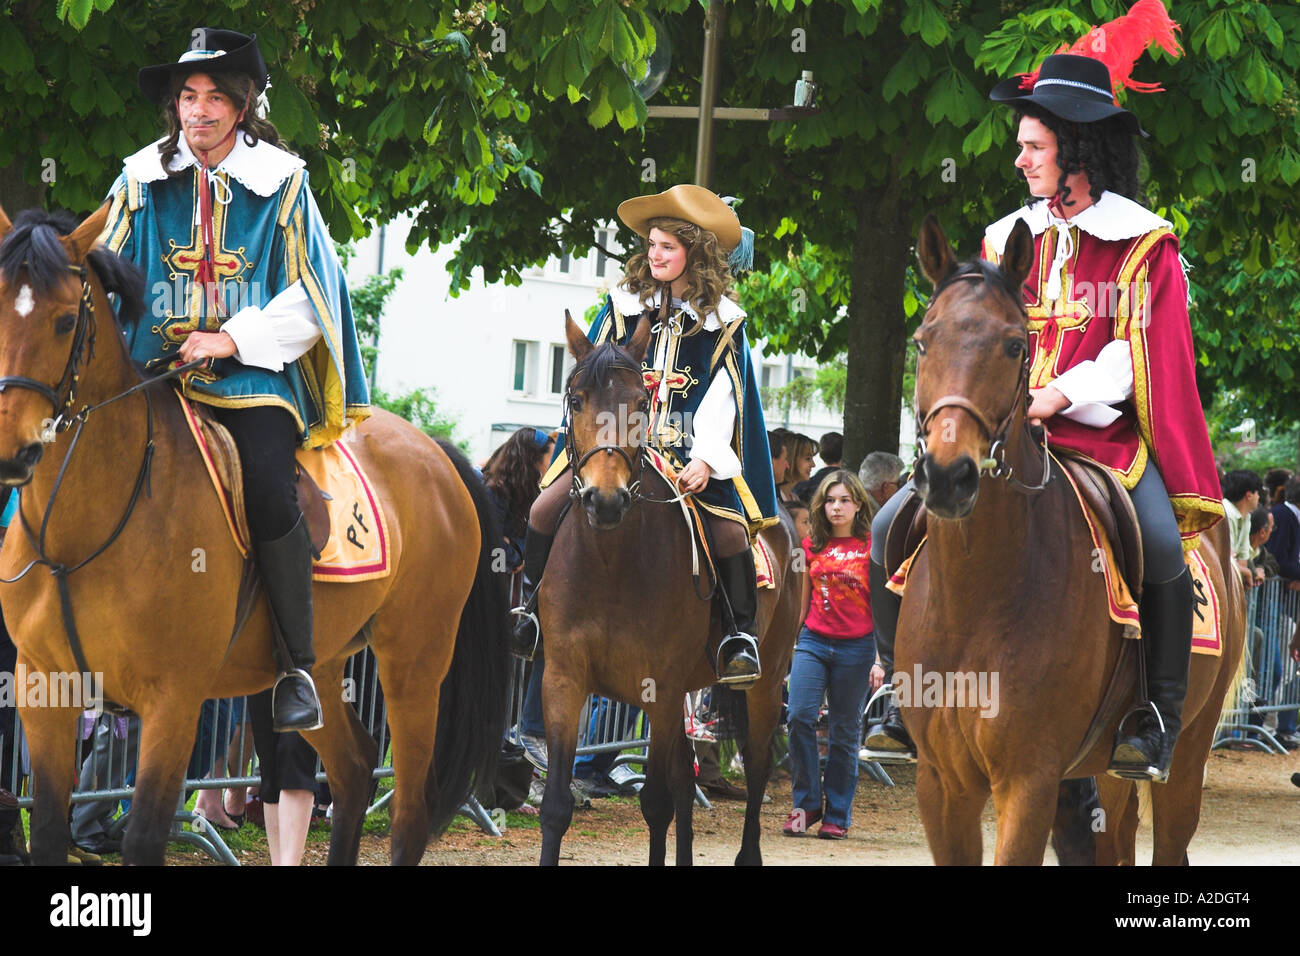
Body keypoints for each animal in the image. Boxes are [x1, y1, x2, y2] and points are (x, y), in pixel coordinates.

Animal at [0, 204, 506, 868]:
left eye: (64, 321)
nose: (12, 452)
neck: (81, 531)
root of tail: (438, 454)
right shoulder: (44, 691)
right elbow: (50, 833)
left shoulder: (173, 701)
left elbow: (143, 836)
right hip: (324, 664)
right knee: (354, 769)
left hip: (414, 663)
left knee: (409, 813)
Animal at [530, 314, 795, 868]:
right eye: (576, 399)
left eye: (639, 400)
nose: (605, 500)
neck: (610, 564)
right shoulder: (563, 680)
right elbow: (557, 806)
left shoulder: (662, 688)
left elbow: (655, 803)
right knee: (684, 780)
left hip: (764, 682)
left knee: (757, 767)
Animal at [899, 214, 1242, 868]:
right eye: (923, 341)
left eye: (1014, 344)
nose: (949, 477)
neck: (979, 594)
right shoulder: (940, 784)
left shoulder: (1027, 779)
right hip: (1104, 774)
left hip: (1185, 757)